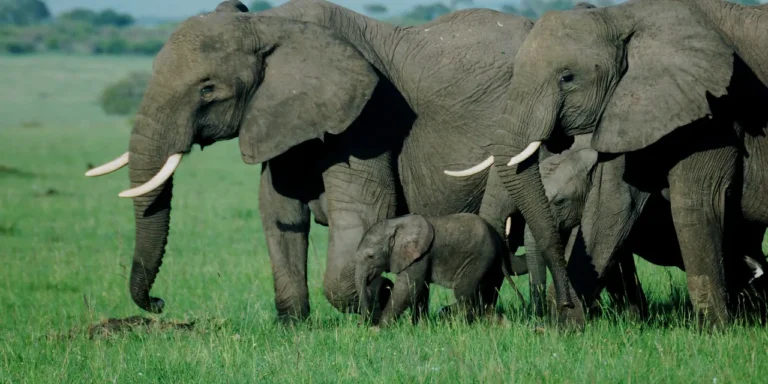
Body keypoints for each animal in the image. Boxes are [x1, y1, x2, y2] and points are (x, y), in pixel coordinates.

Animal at [356, 213, 524, 328]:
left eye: (371, 256)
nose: (363, 324)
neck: (396, 224)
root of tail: (498, 242)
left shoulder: (419, 256)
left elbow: (407, 288)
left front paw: (378, 329)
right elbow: (420, 290)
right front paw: (420, 327)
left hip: (479, 259)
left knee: (463, 294)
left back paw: (447, 316)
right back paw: (501, 323)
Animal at [444, 0, 768, 328]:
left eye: (567, 78)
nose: (545, 310)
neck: (622, 15)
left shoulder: (716, 110)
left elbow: (697, 203)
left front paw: (715, 330)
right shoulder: (633, 110)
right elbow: (613, 206)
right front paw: (564, 328)